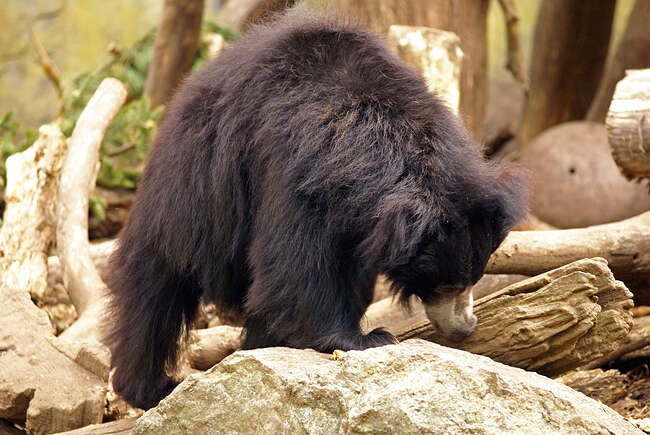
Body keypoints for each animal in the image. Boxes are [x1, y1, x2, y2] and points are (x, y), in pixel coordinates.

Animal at [104, 6, 524, 410]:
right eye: (447, 283)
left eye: (475, 276)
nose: (466, 326)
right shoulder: (294, 163)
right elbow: (295, 266)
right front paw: (366, 338)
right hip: (187, 195)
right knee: (154, 292)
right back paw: (151, 387)